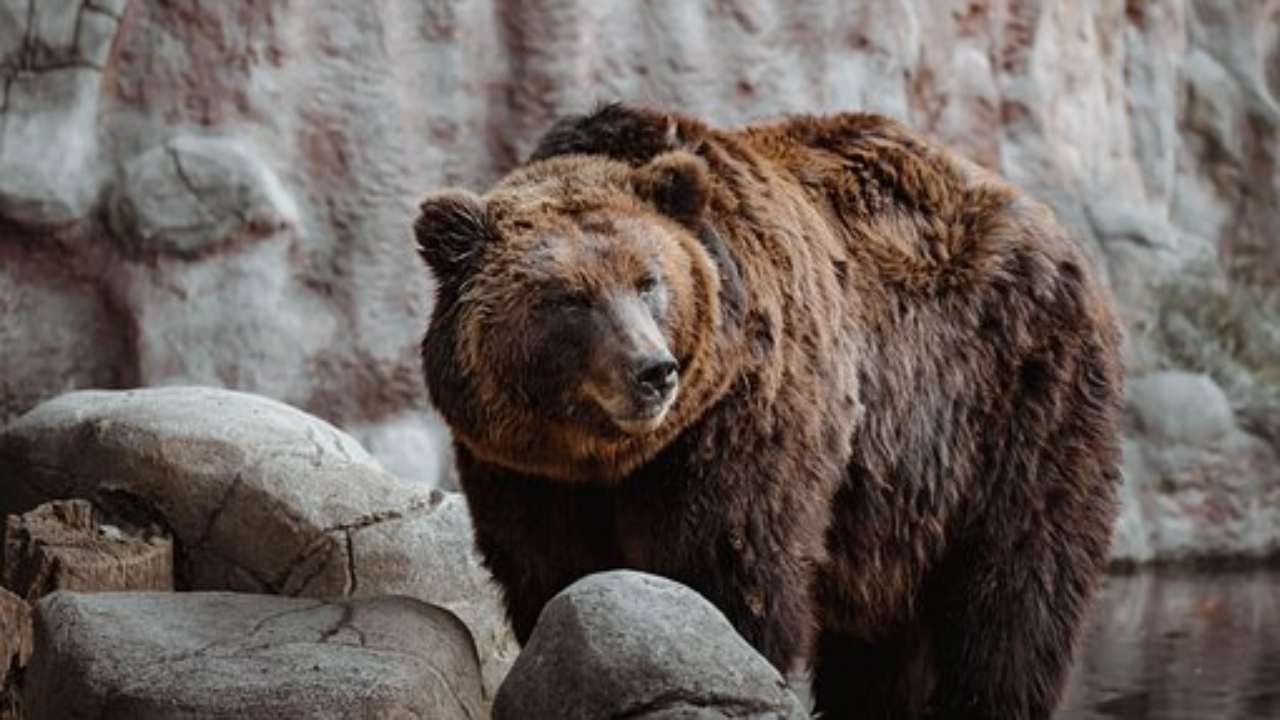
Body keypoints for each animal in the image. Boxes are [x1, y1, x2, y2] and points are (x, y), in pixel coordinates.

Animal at [412, 102, 1121, 717]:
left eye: (649, 281)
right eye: (569, 298)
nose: (653, 371)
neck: (605, 456)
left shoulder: (739, 420)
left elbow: (729, 567)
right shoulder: (524, 471)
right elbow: (549, 573)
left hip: (1011, 405)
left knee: (1014, 593)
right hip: (898, 507)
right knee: (882, 641)